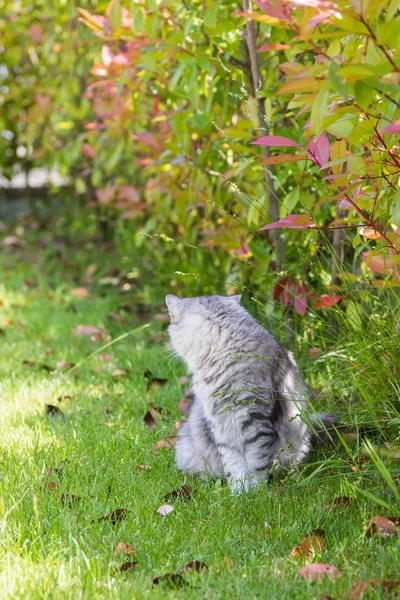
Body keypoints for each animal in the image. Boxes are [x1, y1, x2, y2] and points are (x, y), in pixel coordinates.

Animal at [164, 292, 332, 494]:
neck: (222, 354)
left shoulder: (256, 420)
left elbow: (256, 462)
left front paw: (256, 492)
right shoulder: (221, 425)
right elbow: (234, 464)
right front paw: (239, 492)